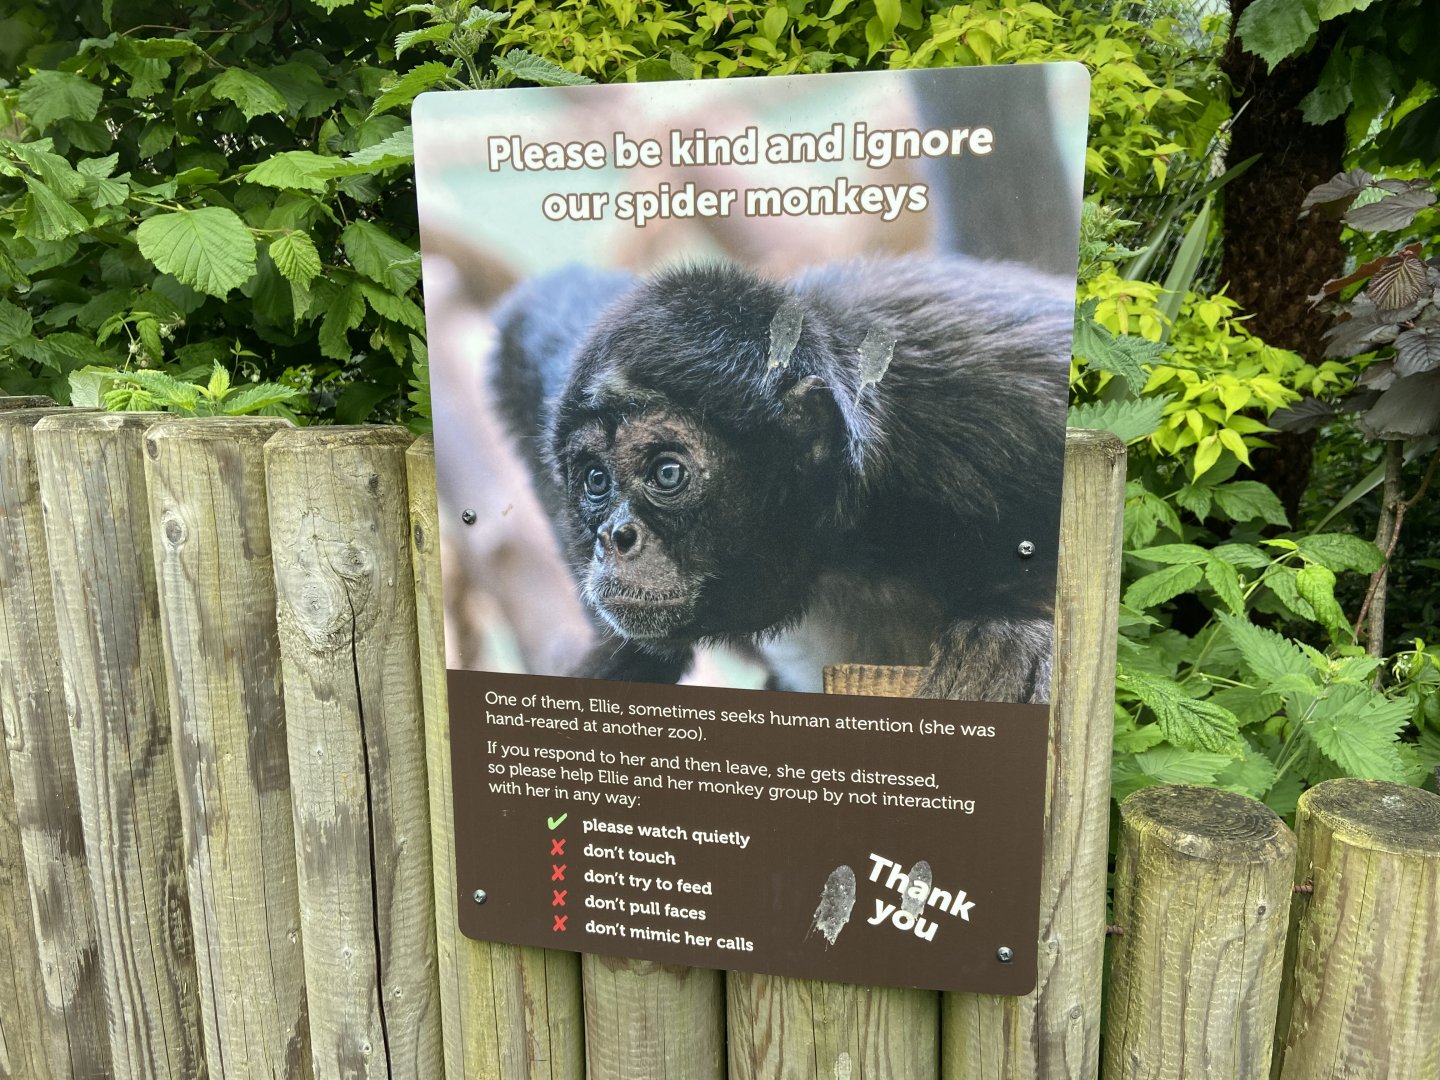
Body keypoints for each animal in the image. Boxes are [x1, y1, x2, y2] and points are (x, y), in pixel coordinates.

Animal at [489, 255, 1074, 703]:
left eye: (667, 473)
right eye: (595, 481)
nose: (615, 537)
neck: (843, 547)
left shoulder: (981, 407)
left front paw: (1011, 630)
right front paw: (626, 660)